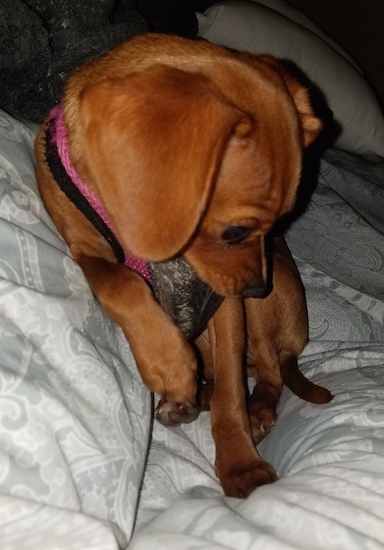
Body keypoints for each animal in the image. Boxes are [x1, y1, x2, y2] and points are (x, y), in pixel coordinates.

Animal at [34, 33, 332, 500]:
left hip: (264, 316)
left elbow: (231, 395)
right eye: (235, 231)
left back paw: (257, 410)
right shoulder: (86, 252)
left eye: (281, 224)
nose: (257, 287)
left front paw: (240, 464)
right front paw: (166, 361)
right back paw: (186, 398)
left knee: (267, 374)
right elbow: (119, 282)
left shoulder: (226, 304)